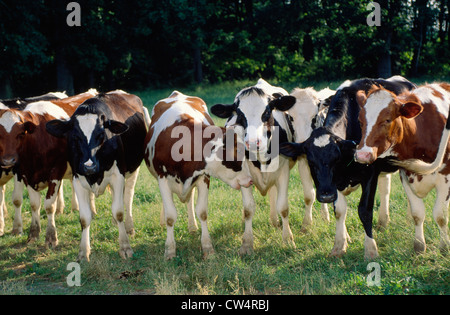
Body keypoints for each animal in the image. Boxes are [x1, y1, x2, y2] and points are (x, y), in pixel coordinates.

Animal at [0, 89, 97, 247]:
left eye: (20, 134)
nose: (8, 160)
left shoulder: (55, 171)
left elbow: (48, 205)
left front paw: (51, 236)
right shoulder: (25, 173)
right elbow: (34, 204)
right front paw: (33, 234)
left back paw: (92, 211)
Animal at [45, 89, 149, 262]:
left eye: (101, 134)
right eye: (75, 136)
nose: (89, 166)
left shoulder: (118, 175)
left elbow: (119, 211)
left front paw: (125, 247)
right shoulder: (78, 179)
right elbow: (84, 218)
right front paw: (83, 251)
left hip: (133, 169)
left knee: (128, 197)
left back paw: (129, 227)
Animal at [146, 90, 255, 260]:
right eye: (236, 154)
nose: (250, 181)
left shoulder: (203, 177)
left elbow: (202, 212)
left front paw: (207, 248)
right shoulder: (162, 178)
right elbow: (171, 216)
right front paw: (169, 250)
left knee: (189, 199)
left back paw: (192, 227)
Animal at [280, 76, 416, 260]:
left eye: (335, 158)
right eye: (311, 162)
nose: (326, 195)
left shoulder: (370, 173)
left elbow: (364, 211)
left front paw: (371, 249)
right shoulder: (335, 183)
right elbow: (339, 212)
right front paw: (339, 245)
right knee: (385, 189)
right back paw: (383, 221)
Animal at [356, 83, 450, 254]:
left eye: (387, 119)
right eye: (360, 121)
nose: (362, 155)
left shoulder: (445, 177)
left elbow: (440, 215)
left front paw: (444, 247)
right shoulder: (406, 174)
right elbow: (417, 213)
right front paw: (419, 246)